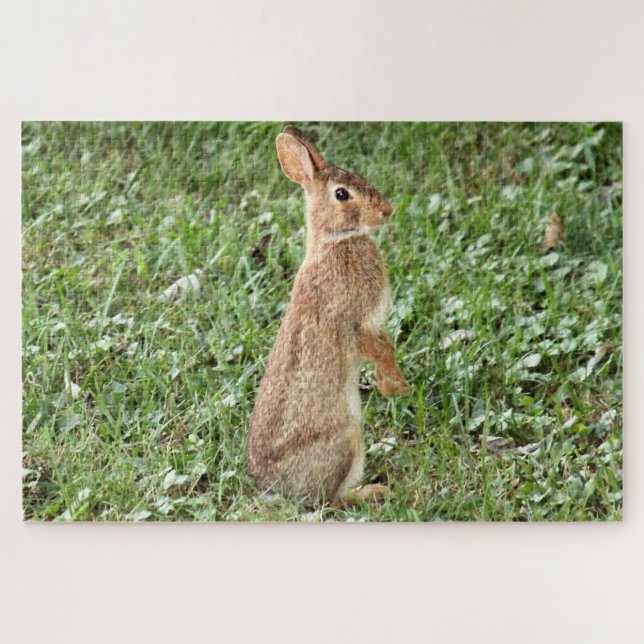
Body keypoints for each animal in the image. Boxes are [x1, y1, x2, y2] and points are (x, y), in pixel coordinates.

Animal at [247, 125, 410, 505]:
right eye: (341, 194)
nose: (387, 211)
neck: (337, 243)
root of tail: (276, 487)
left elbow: (386, 344)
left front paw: (389, 386)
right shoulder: (352, 322)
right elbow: (379, 350)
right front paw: (397, 386)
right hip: (346, 441)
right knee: (332, 500)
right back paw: (374, 492)